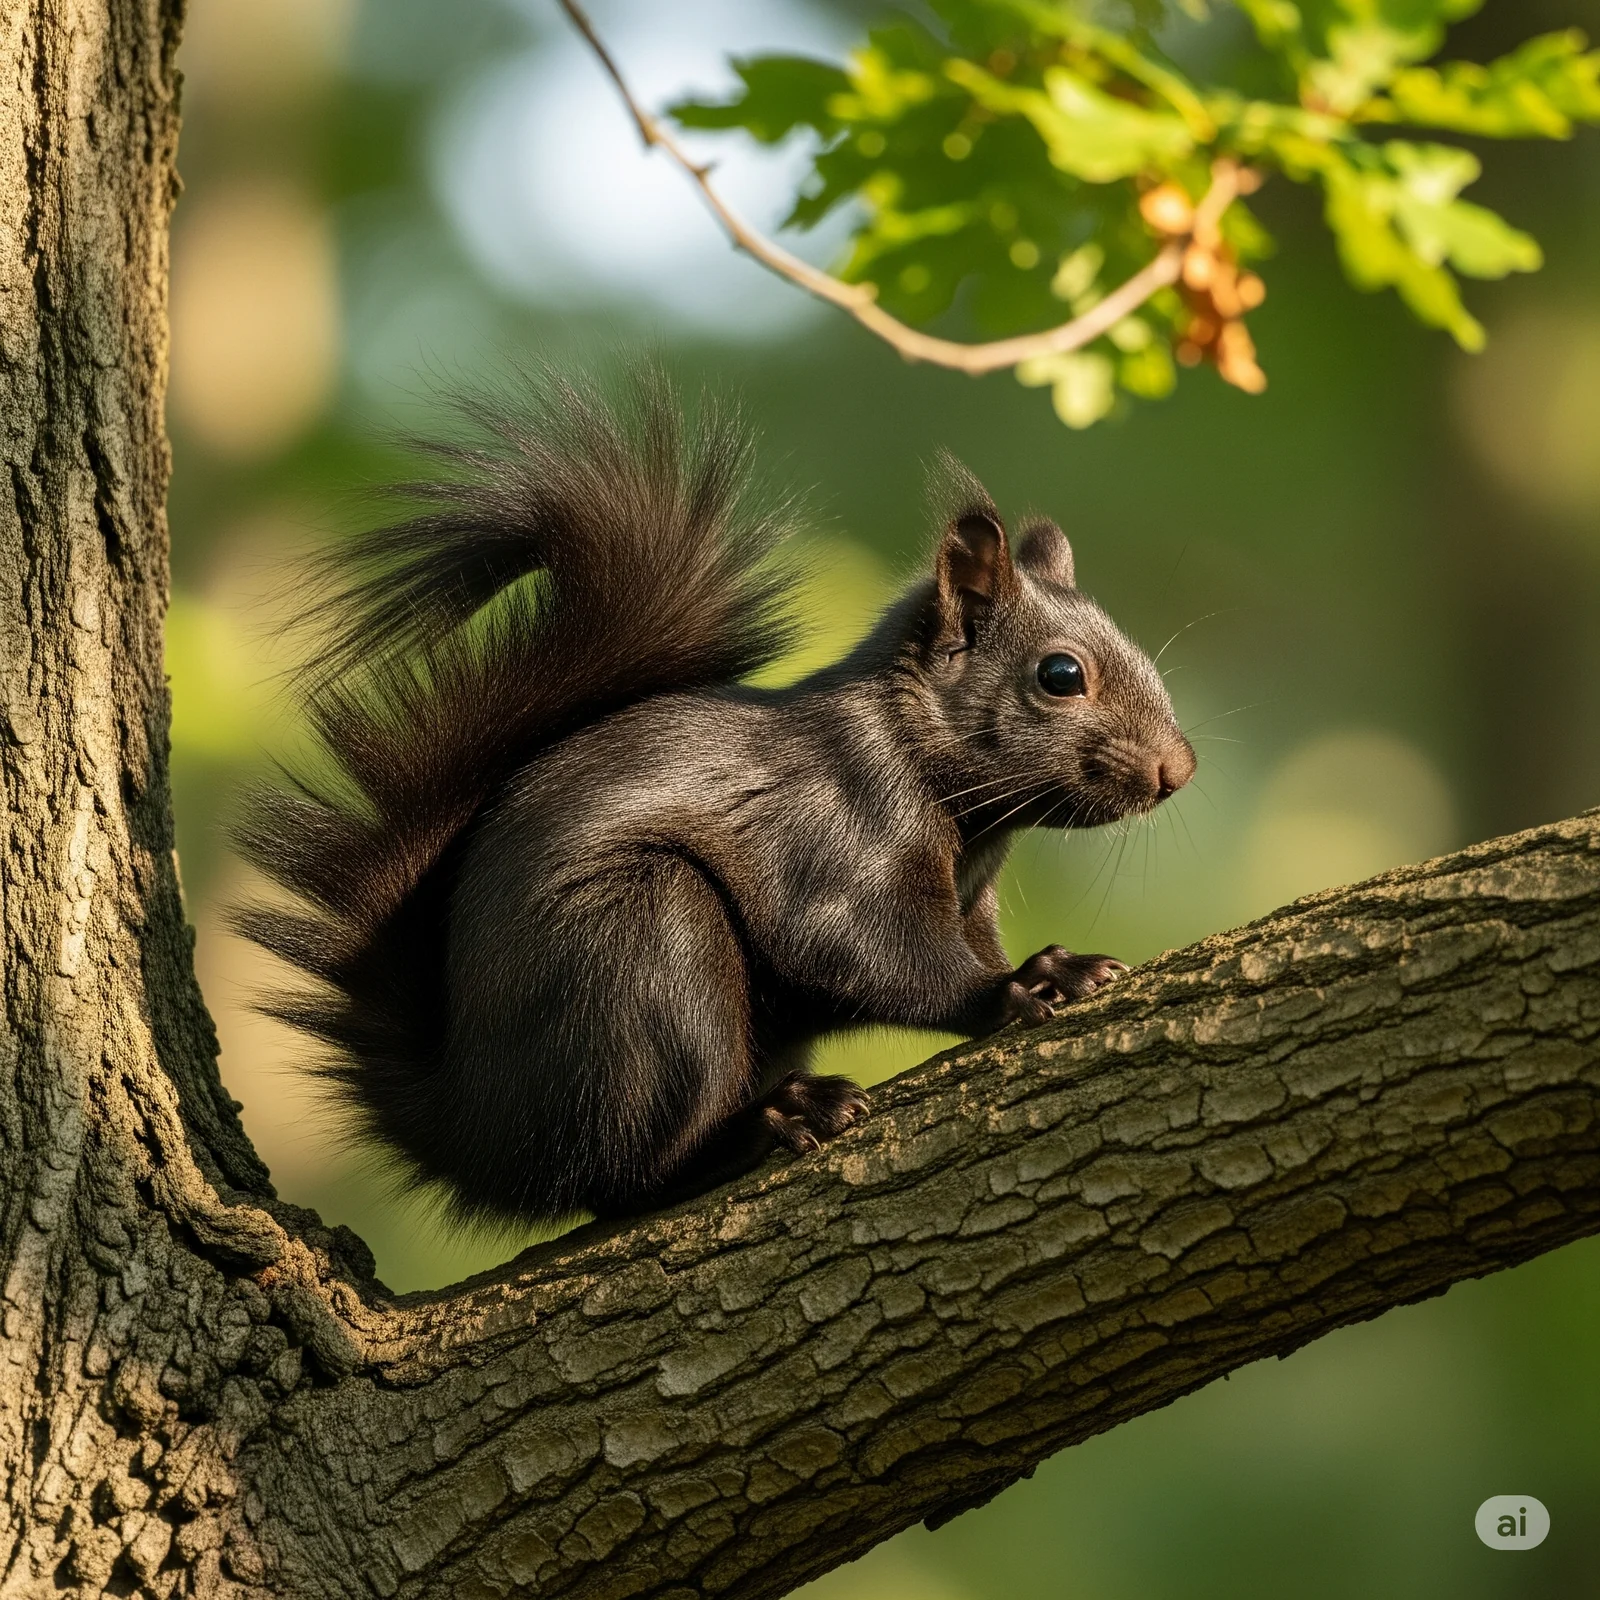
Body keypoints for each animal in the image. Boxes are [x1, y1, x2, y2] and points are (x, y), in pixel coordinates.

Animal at [234, 369, 1195, 1228]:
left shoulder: (970, 895)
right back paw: (771, 1122)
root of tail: (478, 1133)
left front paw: (1055, 963)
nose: (1177, 770)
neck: (934, 777)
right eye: (1061, 675)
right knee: (619, 1177)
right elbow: (867, 952)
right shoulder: (837, 833)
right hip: (645, 952)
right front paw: (1009, 991)